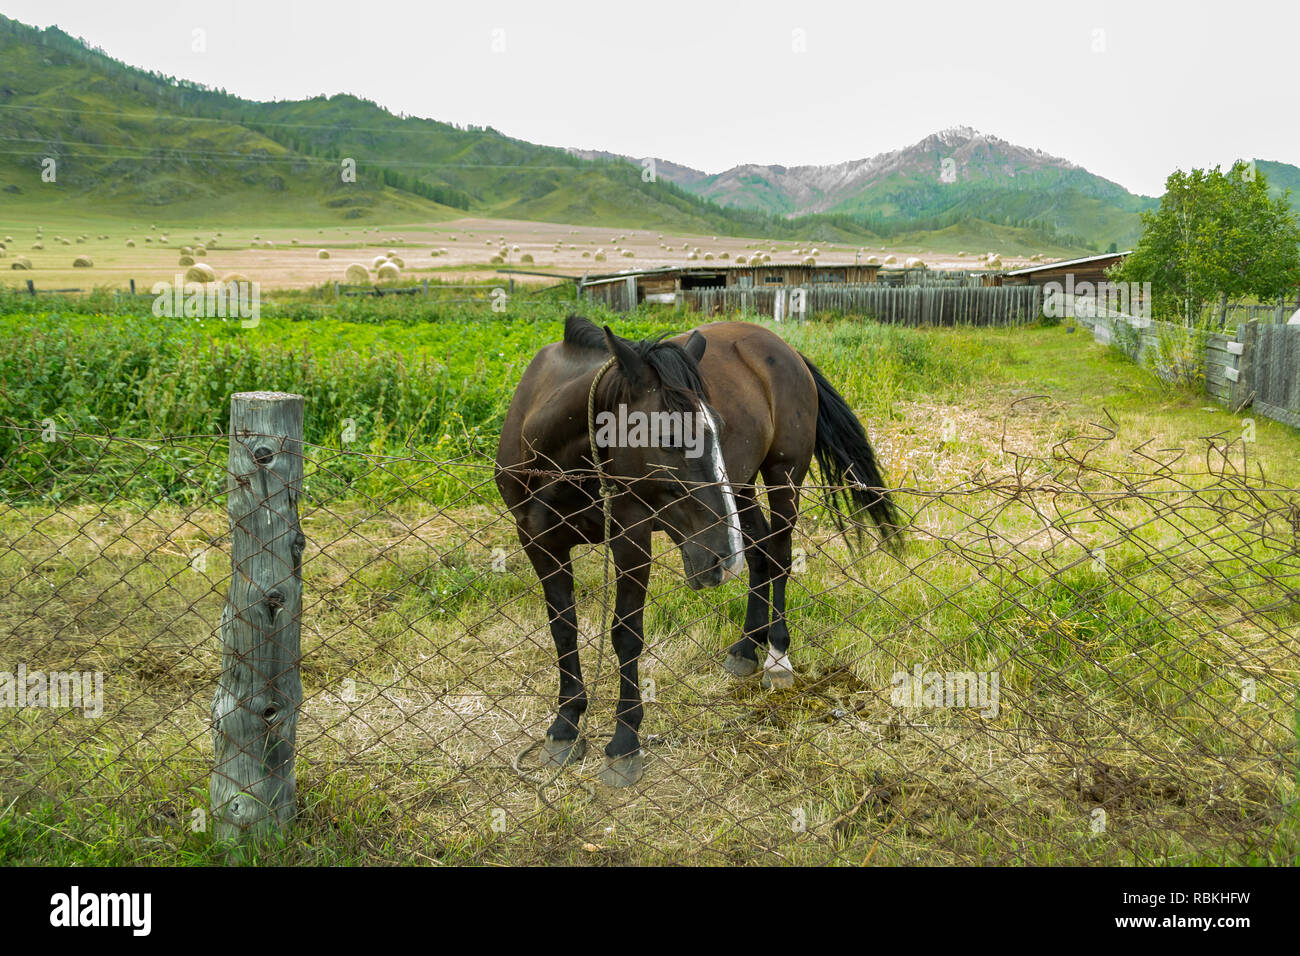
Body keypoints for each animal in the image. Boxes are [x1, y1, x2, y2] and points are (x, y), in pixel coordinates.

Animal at [491, 314, 899, 785]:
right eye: (669, 436)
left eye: (717, 429)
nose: (719, 558)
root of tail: (783, 347)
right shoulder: (539, 542)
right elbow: (563, 629)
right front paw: (565, 726)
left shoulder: (632, 539)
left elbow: (626, 635)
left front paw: (624, 741)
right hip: (741, 488)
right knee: (758, 554)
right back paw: (746, 647)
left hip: (783, 477)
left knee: (778, 557)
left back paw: (777, 657)